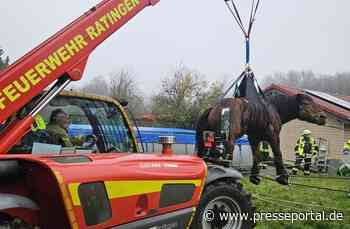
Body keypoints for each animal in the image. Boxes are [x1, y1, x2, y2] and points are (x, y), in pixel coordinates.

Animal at [196, 92, 326, 185]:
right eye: (306, 103)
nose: (323, 116)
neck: (275, 109)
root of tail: (215, 108)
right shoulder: (273, 137)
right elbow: (278, 154)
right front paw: (282, 177)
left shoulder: (254, 139)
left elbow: (257, 155)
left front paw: (254, 177)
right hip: (229, 139)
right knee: (224, 157)